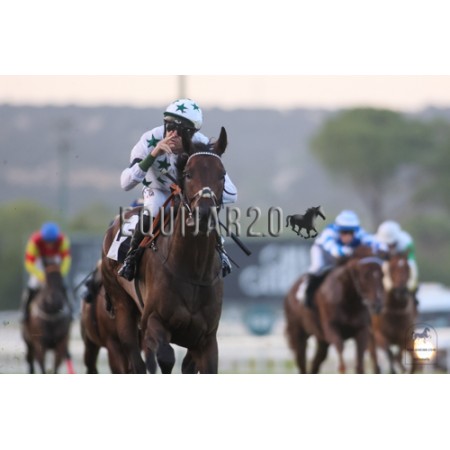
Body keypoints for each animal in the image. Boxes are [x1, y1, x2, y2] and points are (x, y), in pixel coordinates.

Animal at [101, 127, 228, 373]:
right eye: (188, 173)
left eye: (222, 175)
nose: (204, 214)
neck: (194, 270)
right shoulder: (153, 322)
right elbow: (165, 358)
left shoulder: (207, 338)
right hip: (123, 307)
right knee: (136, 360)